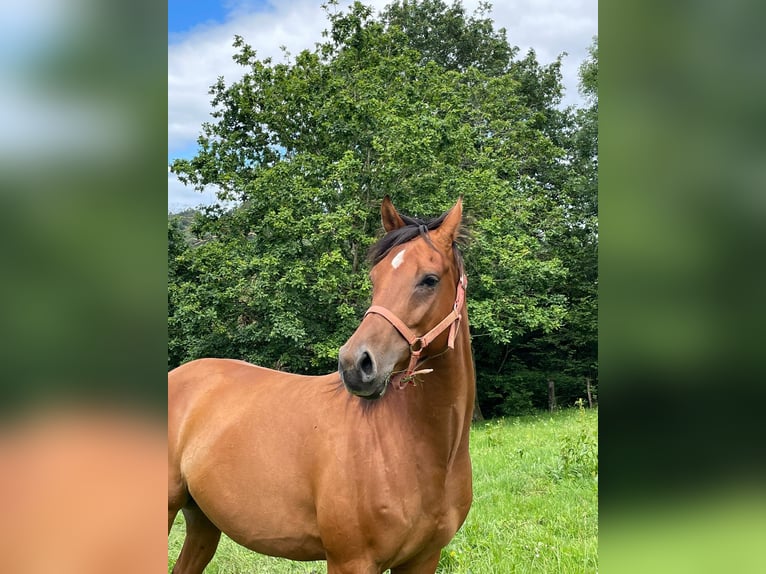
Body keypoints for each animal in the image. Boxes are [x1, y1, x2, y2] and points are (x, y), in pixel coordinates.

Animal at [170, 196, 474, 572]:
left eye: (429, 280)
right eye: (375, 278)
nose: (355, 364)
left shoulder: (423, 559)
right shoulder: (351, 561)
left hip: (202, 522)